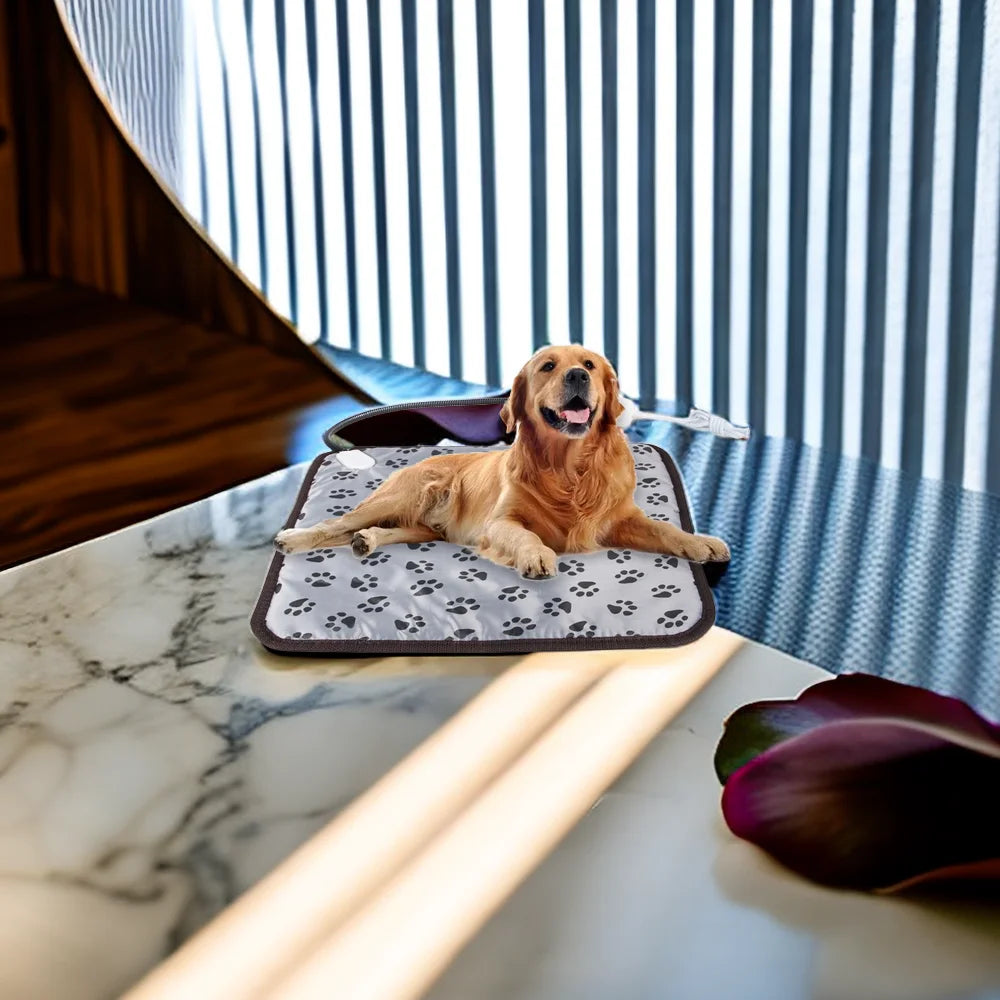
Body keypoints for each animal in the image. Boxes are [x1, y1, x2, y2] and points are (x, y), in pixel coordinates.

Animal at [278, 346, 732, 576]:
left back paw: (366, 540)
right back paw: (293, 538)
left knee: (379, 531)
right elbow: (524, 536)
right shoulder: (500, 522)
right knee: (335, 523)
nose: (578, 376)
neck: (569, 468)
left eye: (589, 364)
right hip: (401, 497)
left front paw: (701, 542)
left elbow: (664, 529)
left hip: (423, 528)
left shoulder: (619, 518)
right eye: (548, 366)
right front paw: (536, 556)